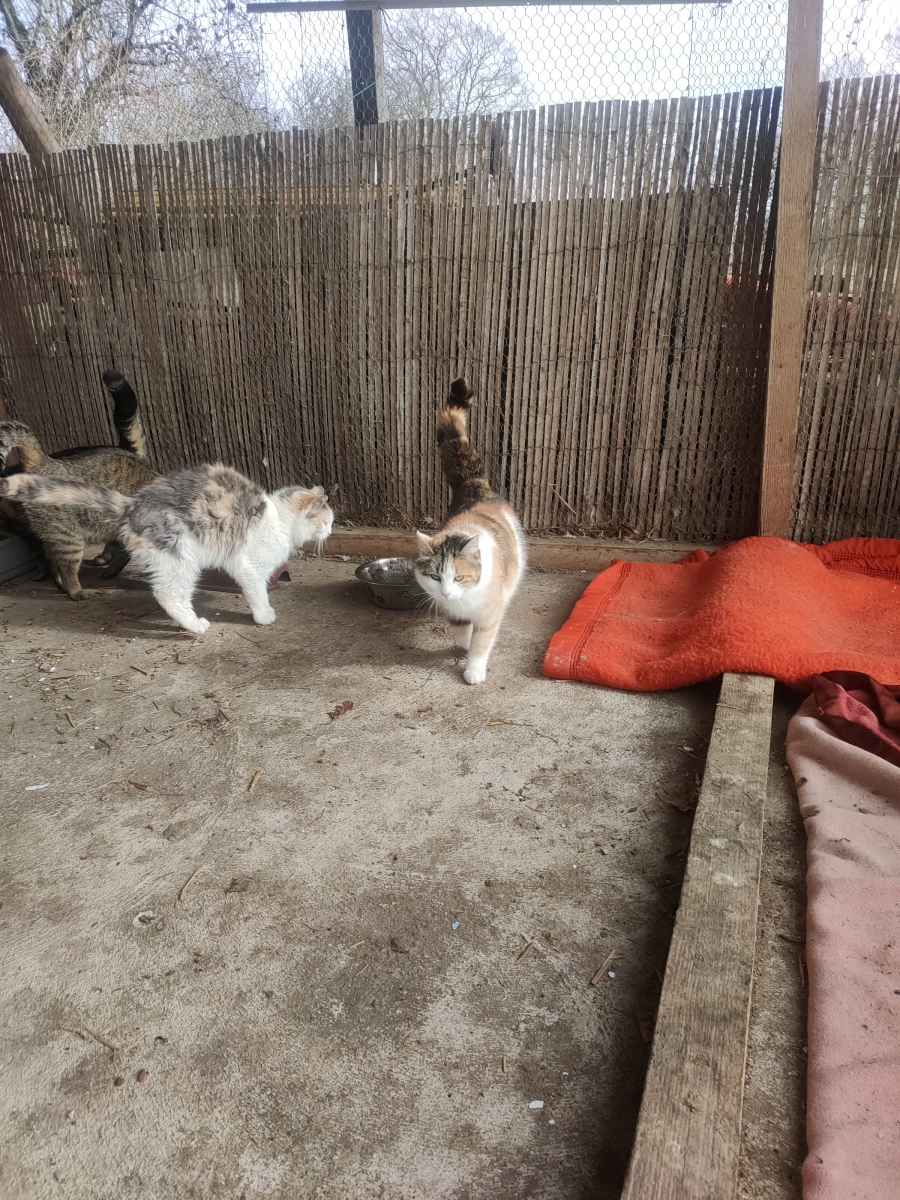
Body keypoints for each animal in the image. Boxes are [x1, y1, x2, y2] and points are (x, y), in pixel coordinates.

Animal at [1, 464, 334, 635]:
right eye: (327, 520)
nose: (330, 531)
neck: (278, 517)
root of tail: (132, 504)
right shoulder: (250, 569)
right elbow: (258, 594)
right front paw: (263, 616)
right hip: (182, 559)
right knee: (167, 595)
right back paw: (196, 625)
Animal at [414, 378, 525, 685]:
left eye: (459, 577)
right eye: (435, 577)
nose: (445, 594)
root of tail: (474, 482)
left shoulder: (489, 615)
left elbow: (481, 642)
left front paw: (474, 671)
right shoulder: (454, 613)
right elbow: (464, 633)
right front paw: (464, 645)